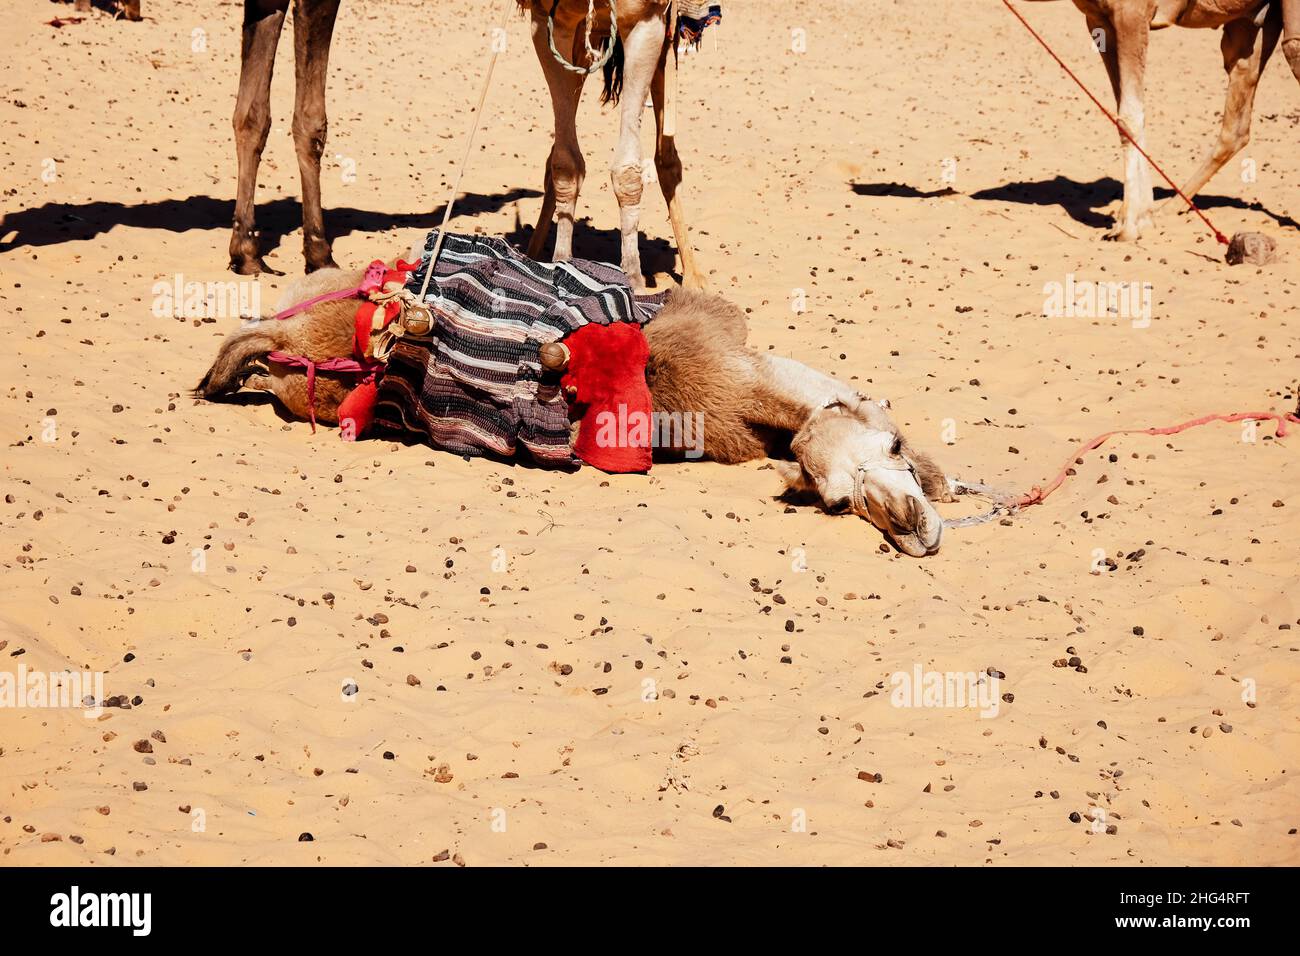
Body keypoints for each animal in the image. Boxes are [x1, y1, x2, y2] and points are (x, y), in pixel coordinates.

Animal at [1029, 0, 1294, 239]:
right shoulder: (1098, 19)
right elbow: (1128, 111)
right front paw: (1142, 217)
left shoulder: (1131, 12)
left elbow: (1128, 116)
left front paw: (1129, 226)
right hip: (1253, 24)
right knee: (1238, 115)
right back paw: (1170, 209)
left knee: (1292, 50)